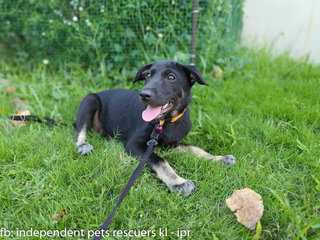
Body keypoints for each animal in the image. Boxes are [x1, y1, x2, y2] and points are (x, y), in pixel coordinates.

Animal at [74, 59, 235, 195]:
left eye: (171, 77)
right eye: (148, 75)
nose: (144, 95)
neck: (167, 122)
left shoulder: (174, 144)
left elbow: (195, 149)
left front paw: (220, 158)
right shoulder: (135, 145)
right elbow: (160, 160)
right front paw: (179, 183)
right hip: (90, 100)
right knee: (80, 130)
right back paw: (83, 145)